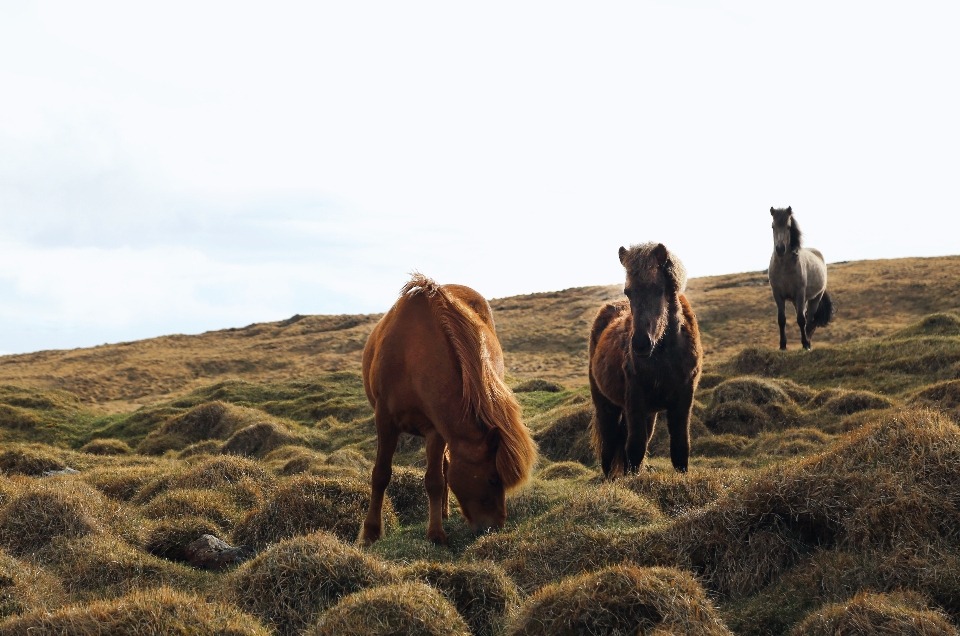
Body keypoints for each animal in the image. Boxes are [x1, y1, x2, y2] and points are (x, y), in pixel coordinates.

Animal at [362, 276, 540, 544]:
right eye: (493, 479)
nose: (496, 526)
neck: (412, 355)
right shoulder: (385, 421)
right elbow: (381, 474)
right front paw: (371, 532)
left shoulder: (435, 429)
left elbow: (435, 480)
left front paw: (436, 533)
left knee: (444, 468)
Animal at [588, 243, 700, 476]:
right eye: (628, 292)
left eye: (659, 290)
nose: (640, 344)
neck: (666, 355)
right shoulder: (635, 398)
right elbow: (635, 448)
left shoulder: (684, 397)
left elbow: (680, 447)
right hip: (606, 404)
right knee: (609, 445)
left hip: (648, 412)